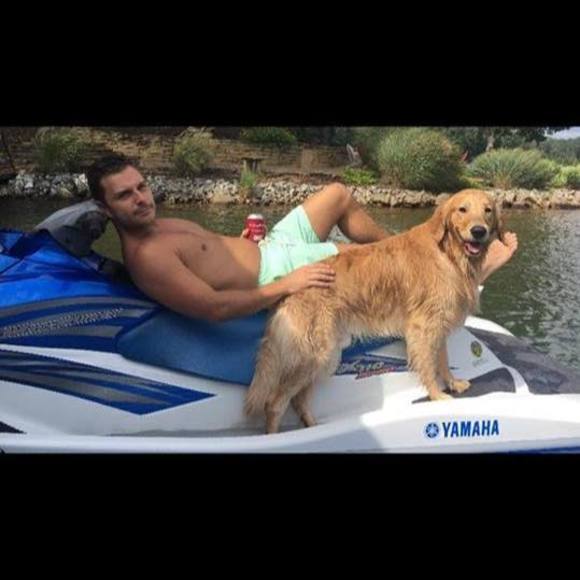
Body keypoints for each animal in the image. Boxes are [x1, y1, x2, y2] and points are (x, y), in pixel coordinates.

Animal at [245, 189, 505, 434]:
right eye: (462, 209)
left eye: (488, 210)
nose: (479, 231)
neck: (449, 254)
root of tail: (289, 288)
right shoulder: (423, 326)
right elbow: (430, 366)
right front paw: (437, 396)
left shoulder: (437, 324)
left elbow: (443, 359)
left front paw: (453, 383)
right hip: (315, 353)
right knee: (275, 403)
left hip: (324, 355)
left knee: (298, 400)